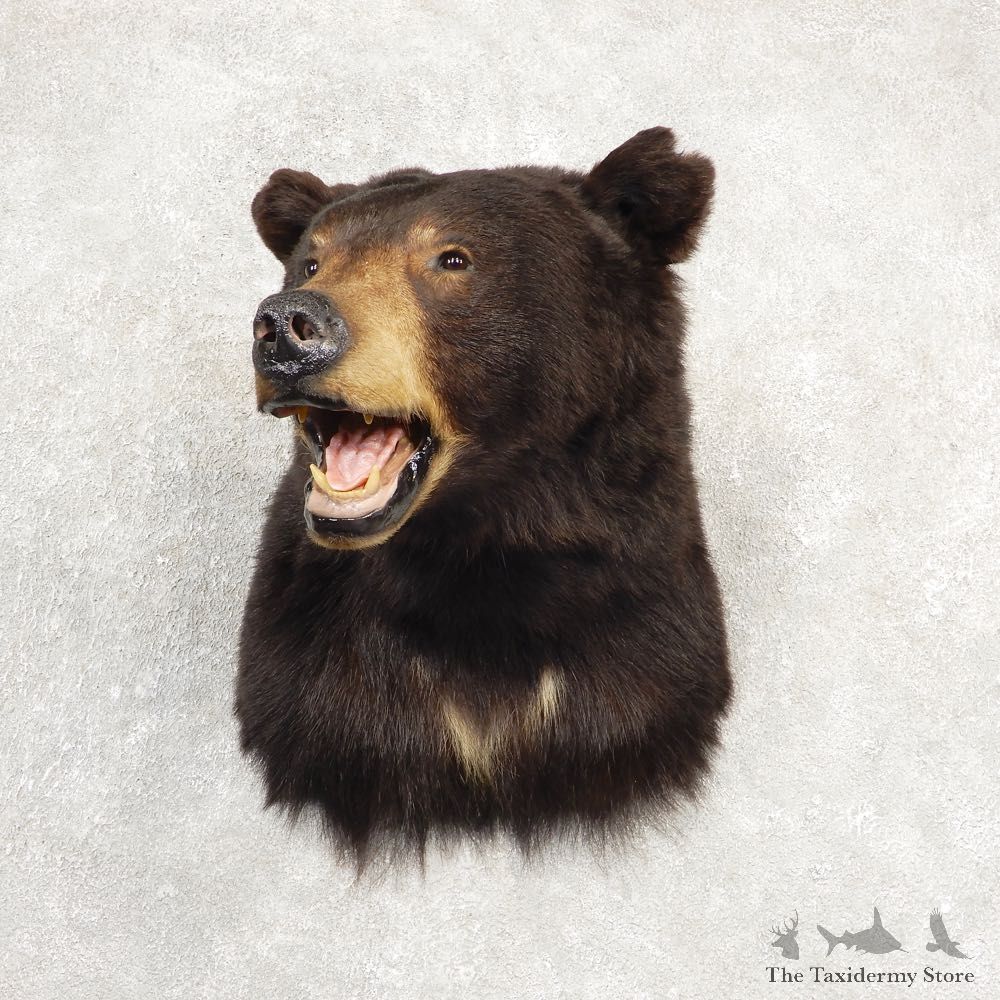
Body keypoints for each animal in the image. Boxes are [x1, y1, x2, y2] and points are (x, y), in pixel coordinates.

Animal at [237, 127, 731, 868]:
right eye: (310, 263)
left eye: (452, 258)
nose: (288, 325)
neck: (478, 555)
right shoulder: (310, 655)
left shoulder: (642, 633)